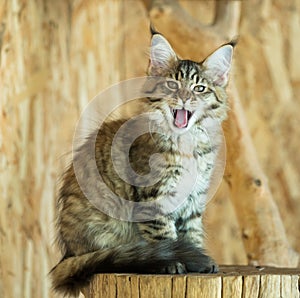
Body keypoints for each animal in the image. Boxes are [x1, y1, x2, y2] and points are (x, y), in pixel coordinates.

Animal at [49, 30, 234, 296]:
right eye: (172, 85)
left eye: (199, 89)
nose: (184, 98)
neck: (189, 145)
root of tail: (68, 254)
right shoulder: (153, 196)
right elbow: (165, 234)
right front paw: (175, 261)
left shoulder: (194, 197)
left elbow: (191, 232)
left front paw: (198, 258)